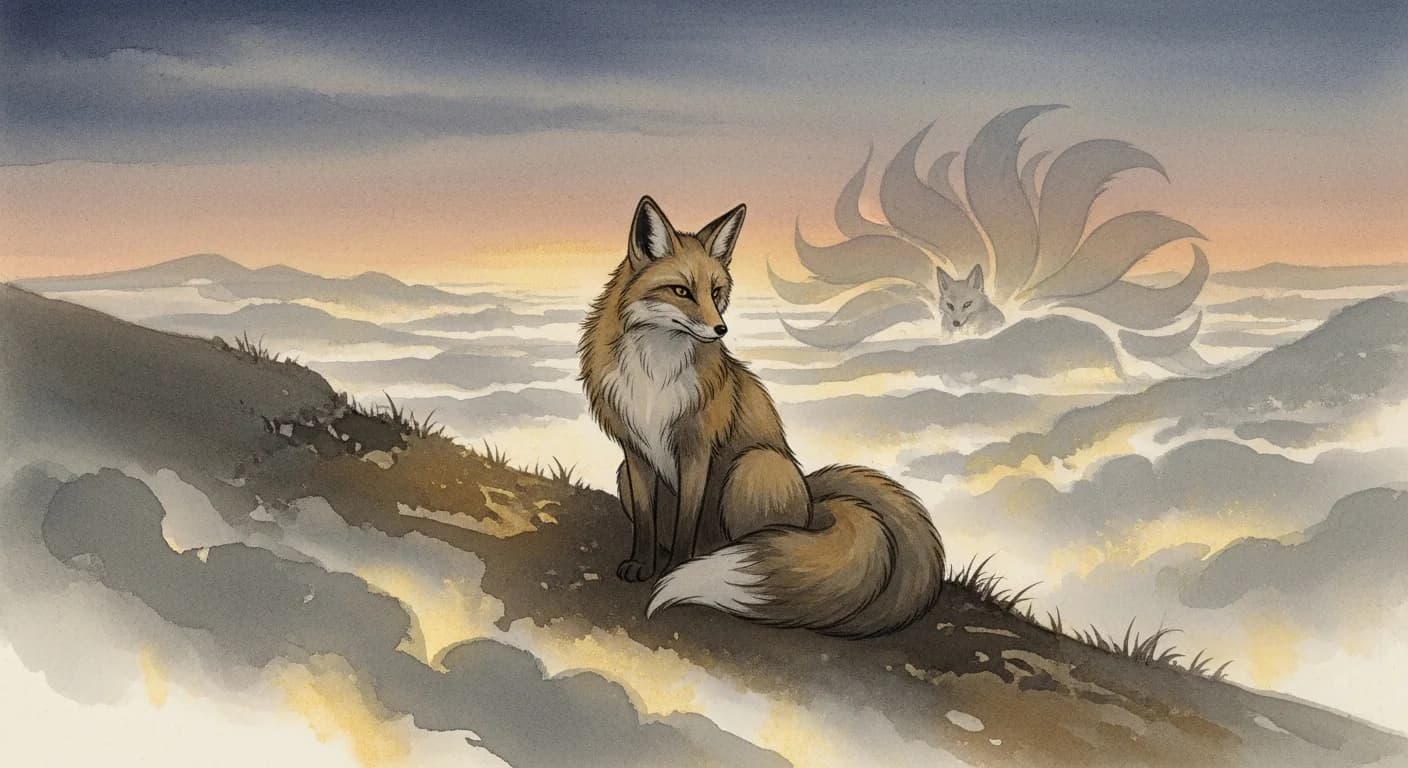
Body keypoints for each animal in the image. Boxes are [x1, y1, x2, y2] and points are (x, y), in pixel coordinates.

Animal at [578, 196, 946, 638]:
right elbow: (647, 523)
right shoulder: (634, 452)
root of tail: (812, 503)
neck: (655, 373)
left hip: (752, 466)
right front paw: (642, 565)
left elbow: (687, 521)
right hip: (625, 474)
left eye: (716, 292)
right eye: (681, 291)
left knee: (759, 542)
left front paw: (677, 567)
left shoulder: (697, 450)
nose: (720, 329)